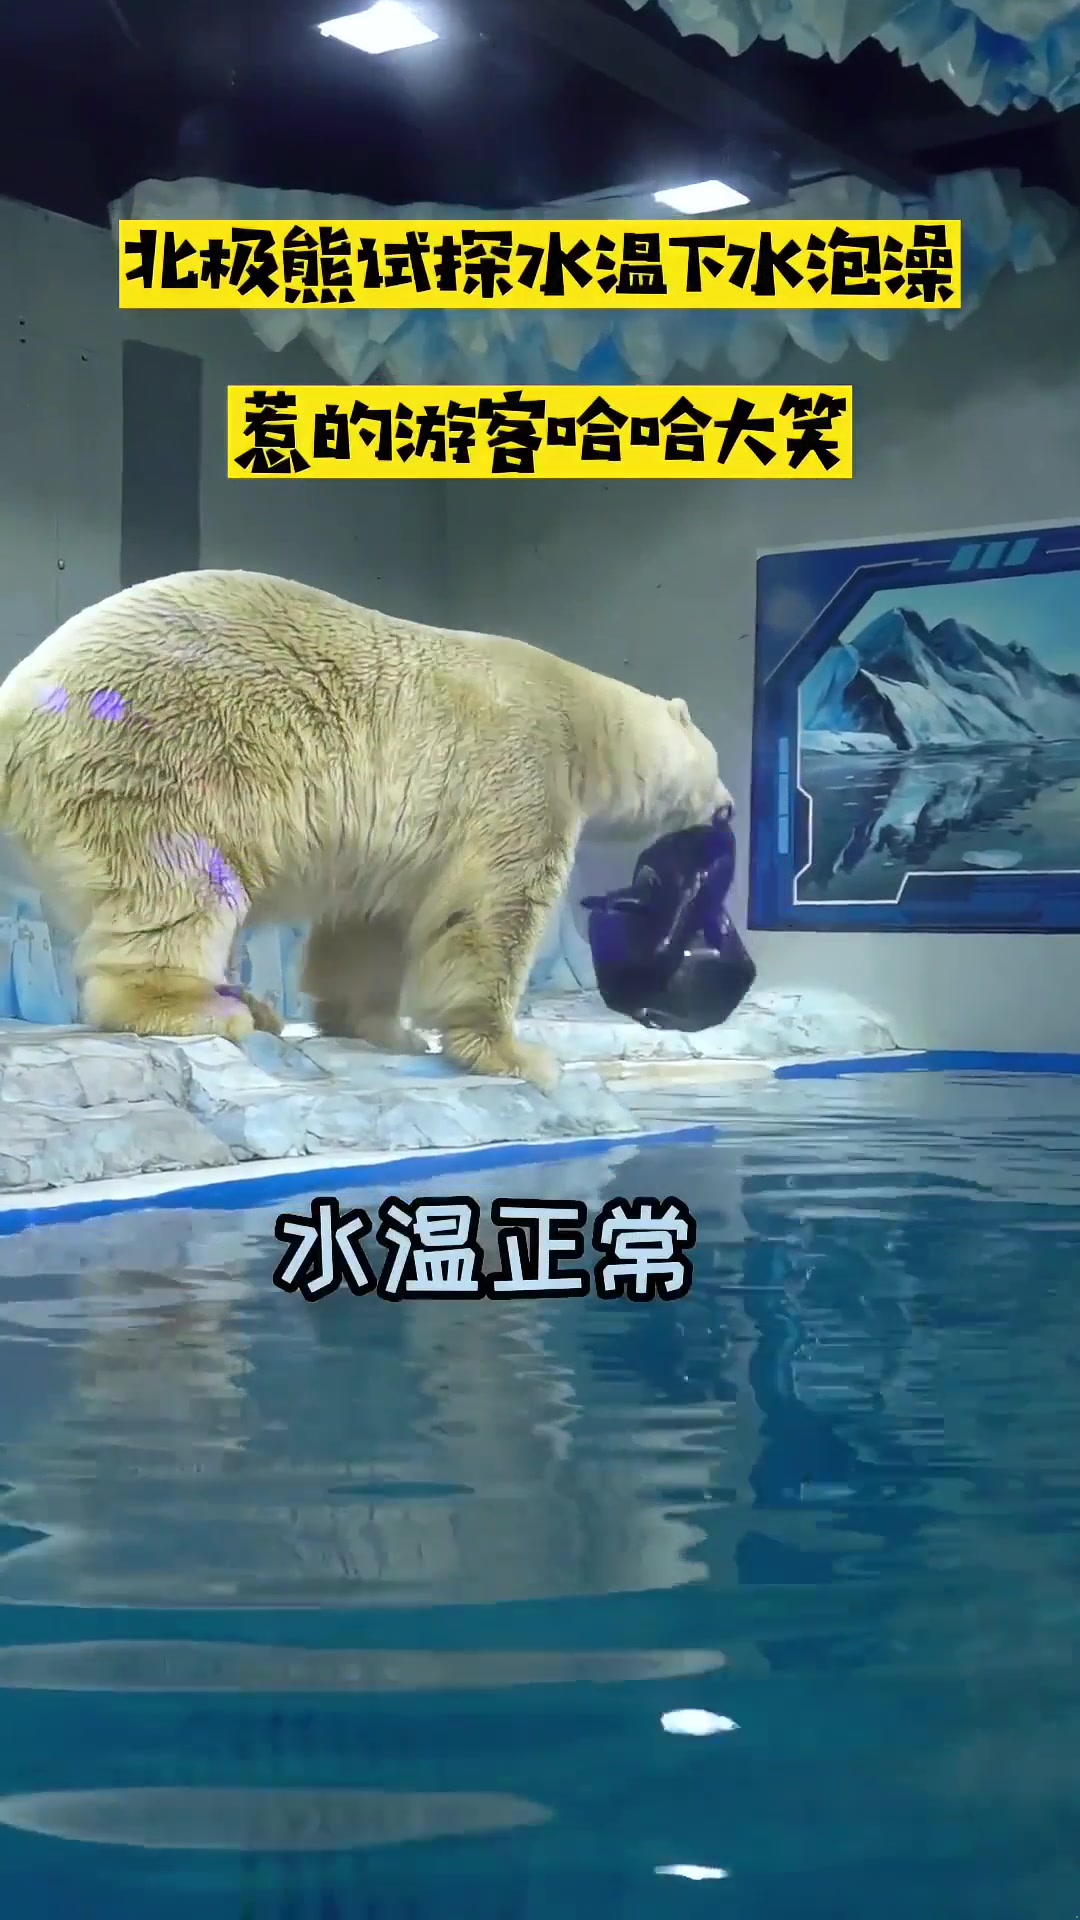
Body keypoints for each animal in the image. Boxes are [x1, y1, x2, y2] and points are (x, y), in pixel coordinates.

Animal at [0, 569, 730, 1092]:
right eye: (717, 767)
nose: (727, 808)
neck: (582, 715)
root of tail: (16, 699)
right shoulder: (519, 769)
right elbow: (492, 910)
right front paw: (515, 1055)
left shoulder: (402, 838)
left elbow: (374, 922)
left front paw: (380, 1028)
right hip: (161, 757)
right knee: (180, 886)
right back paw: (203, 1006)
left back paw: (254, 1004)